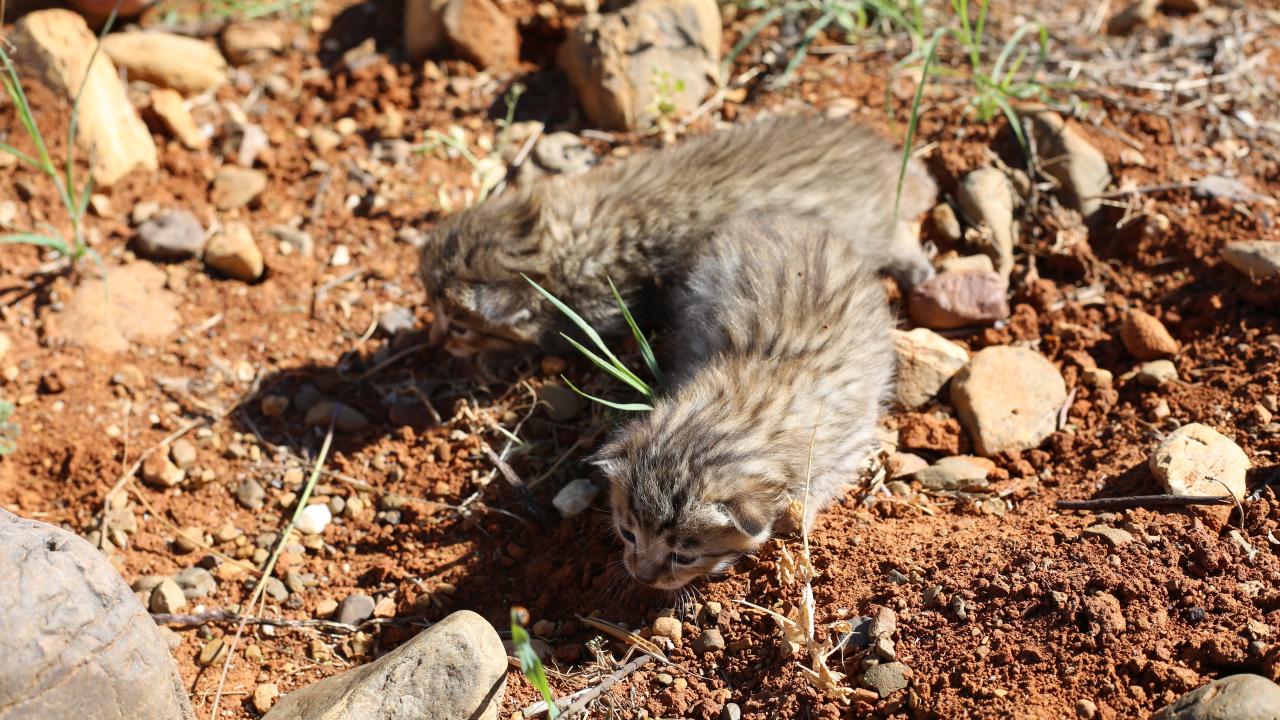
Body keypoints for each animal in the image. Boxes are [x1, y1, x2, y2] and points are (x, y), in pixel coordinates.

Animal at [418, 114, 935, 357]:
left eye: (460, 326)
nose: (435, 342)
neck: (558, 239)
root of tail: (887, 163)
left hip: (873, 226)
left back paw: (920, 270)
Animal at [594, 214, 895, 589]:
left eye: (684, 557)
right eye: (627, 533)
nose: (643, 577)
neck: (744, 407)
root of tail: (780, 218)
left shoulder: (849, 439)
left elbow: (822, 482)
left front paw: (797, 517)